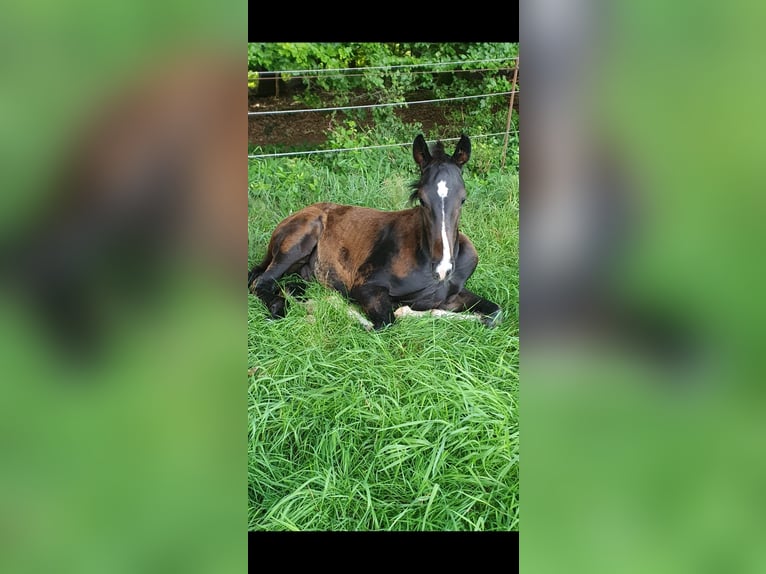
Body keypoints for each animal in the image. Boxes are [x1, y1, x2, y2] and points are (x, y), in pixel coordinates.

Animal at [249, 135, 508, 330]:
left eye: (462, 199)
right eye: (422, 200)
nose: (443, 270)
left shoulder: (454, 294)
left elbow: (494, 314)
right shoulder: (366, 287)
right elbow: (386, 321)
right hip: (297, 243)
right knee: (261, 282)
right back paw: (283, 306)